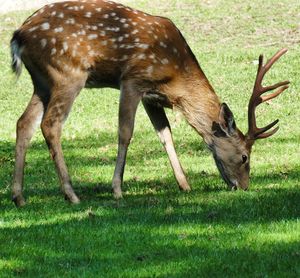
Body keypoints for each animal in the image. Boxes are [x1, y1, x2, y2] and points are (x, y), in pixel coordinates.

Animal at [10, 0, 290, 206]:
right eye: (244, 156)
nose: (243, 186)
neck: (176, 75)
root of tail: (18, 35)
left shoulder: (151, 96)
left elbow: (165, 135)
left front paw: (185, 185)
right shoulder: (133, 79)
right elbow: (125, 132)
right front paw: (117, 189)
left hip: (41, 82)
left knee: (24, 122)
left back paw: (18, 196)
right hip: (67, 73)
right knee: (50, 124)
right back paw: (71, 194)